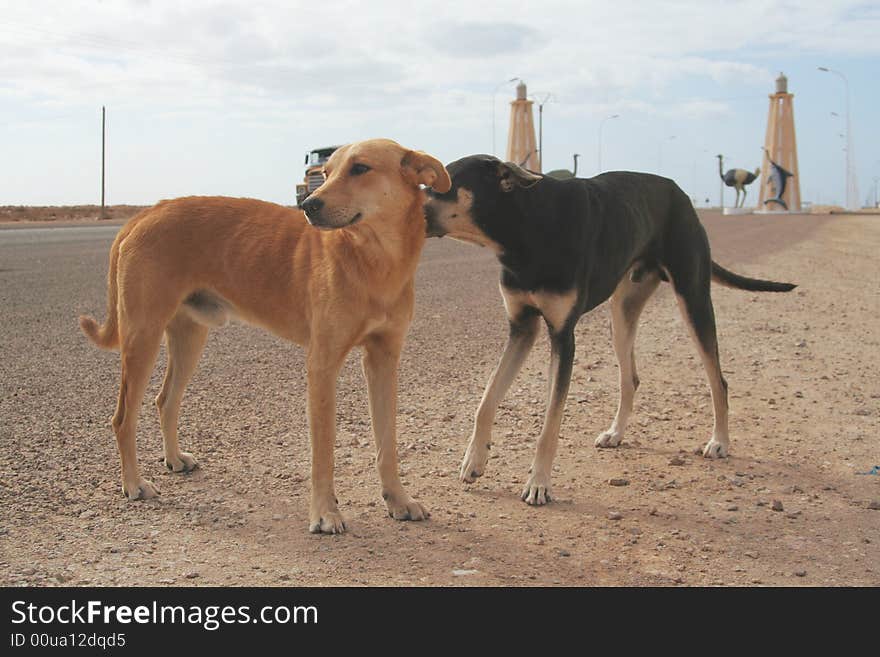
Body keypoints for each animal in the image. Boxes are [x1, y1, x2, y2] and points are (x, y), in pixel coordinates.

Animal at [79, 138, 450, 532]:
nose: (308, 205)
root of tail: (145, 213)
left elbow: (387, 443)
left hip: (189, 337)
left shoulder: (384, 359)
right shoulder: (322, 365)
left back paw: (174, 459)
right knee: (123, 418)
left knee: (165, 400)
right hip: (142, 336)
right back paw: (134, 484)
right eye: (326, 172)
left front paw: (398, 499)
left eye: (360, 168)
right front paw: (325, 513)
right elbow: (323, 451)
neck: (375, 261)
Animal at [426, 156, 796, 504]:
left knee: (717, 380)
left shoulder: (563, 336)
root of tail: (681, 195)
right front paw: (474, 460)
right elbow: (486, 399)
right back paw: (616, 433)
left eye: (442, 185)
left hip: (693, 299)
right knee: (629, 378)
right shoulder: (522, 328)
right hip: (622, 314)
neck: (525, 226)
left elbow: (549, 424)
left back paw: (719, 441)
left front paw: (539, 484)